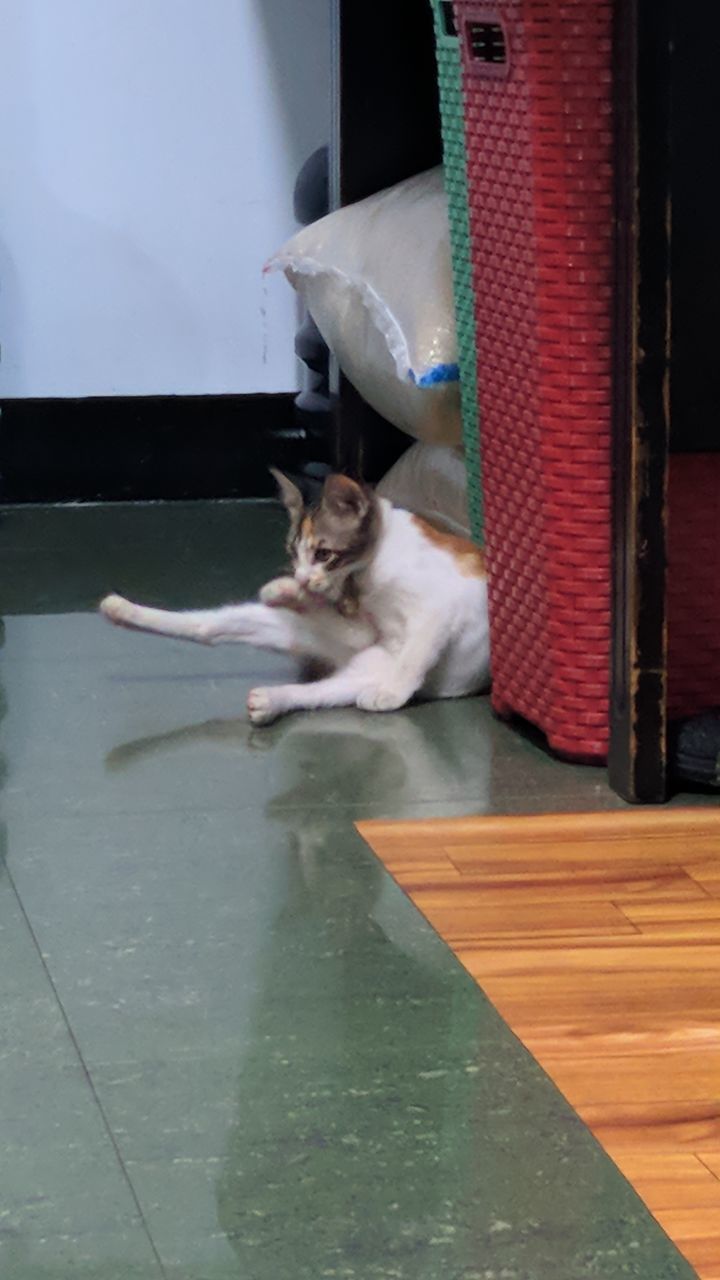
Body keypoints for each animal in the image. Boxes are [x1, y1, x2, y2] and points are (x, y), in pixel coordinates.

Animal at [99, 476, 486, 727]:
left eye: (323, 553)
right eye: (293, 552)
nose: (300, 576)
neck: (367, 576)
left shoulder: (439, 608)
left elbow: (416, 654)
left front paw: (393, 693)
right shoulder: (364, 621)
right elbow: (348, 618)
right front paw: (289, 589)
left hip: (366, 669)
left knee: (325, 690)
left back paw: (274, 698)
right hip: (351, 651)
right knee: (208, 626)